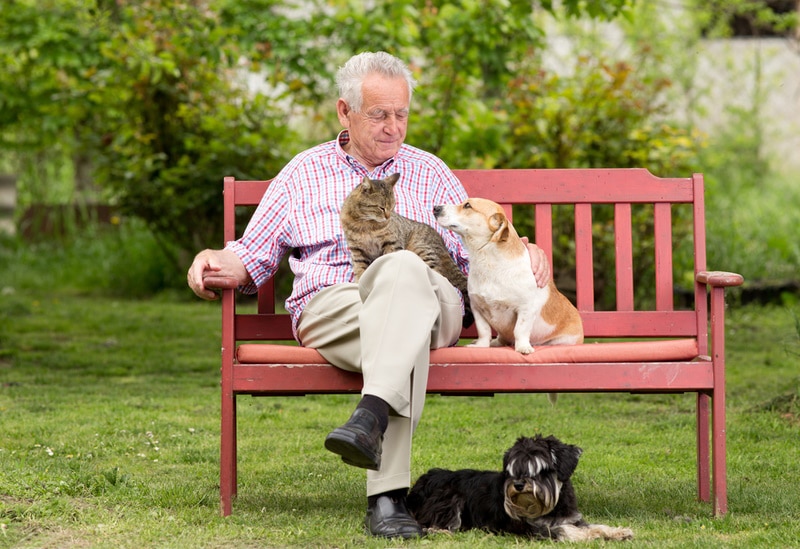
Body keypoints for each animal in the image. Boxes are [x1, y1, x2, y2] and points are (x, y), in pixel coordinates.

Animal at [340, 173, 472, 324]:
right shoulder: (357, 251)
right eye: (381, 208)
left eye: (392, 207)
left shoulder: (392, 243)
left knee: (438, 275)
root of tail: (441, 242)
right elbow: (360, 270)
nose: (388, 217)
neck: (364, 223)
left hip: (420, 248)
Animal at [410, 434, 636, 540]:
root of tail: (422, 481)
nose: (518, 485)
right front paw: (588, 536)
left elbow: (596, 525)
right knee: (428, 523)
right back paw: (443, 532)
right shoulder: (534, 528)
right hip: (449, 499)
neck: (554, 507)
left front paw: (618, 532)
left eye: (542, 470)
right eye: (513, 469)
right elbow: (564, 530)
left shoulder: (573, 518)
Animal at [434, 199, 584, 354]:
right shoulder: (477, 308)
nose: (436, 208)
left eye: (467, 206)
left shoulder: (526, 309)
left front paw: (523, 347)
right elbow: (484, 331)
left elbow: (520, 330)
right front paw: (481, 345)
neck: (488, 262)